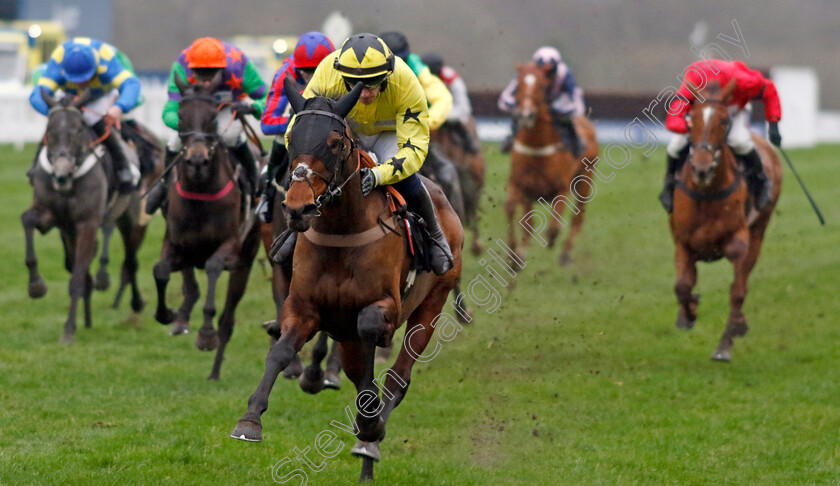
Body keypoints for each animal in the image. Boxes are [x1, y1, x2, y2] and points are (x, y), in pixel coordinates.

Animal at [22, 91, 158, 342]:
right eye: (49, 129)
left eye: (78, 130)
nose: (61, 171)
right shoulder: (51, 217)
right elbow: (27, 220)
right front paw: (36, 285)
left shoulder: (88, 222)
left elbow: (76, 278)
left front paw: (68, 331)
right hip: (71, 231)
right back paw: (87, 316)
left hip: (132, 219)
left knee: (130, 260)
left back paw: (135, 302)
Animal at [151, 72, 260, 382]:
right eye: (181, 117)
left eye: (212, 117)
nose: (197, 161)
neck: (200, 192)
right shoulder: (175, 242)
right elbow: (160, 270)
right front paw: (168, 313)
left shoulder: (231, 247)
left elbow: (212, 268)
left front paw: (206, 334)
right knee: (190, 284)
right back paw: (181, 318)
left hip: (246, 260)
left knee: (228, 318)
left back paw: (214, 368)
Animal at [231, 79, 466, 482]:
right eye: (290, 138)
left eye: (335, 143)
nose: (297, 207)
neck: (342, 232)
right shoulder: (304, 307)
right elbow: (280, 351)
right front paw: (250, 420)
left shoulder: (384, 307)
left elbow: (371, 334)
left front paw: (369, 422)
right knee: (359, 370)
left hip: (432, 301)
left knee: (398, 377)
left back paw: (370, 438)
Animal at [506, 62, 596, 266]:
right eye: (518, 86)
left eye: (541, 86)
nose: (526, 114)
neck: (537, 147)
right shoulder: (523, 186)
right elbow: (524, 220)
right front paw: (517, 256)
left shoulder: (561, 188)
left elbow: (554, 226)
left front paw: (551, 240)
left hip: (585, 180)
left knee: (578, 217)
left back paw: (565, 254)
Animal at [668, 79, 780, 360]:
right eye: (690, 120)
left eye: (723, 121)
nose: (701, 168)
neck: (706, 192)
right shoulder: (682, 242)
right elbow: (683, 286)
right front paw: (688, 314)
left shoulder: (739, 239)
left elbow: (737, 289)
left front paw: (727, 338)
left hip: (759, 230)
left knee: (742, 283)